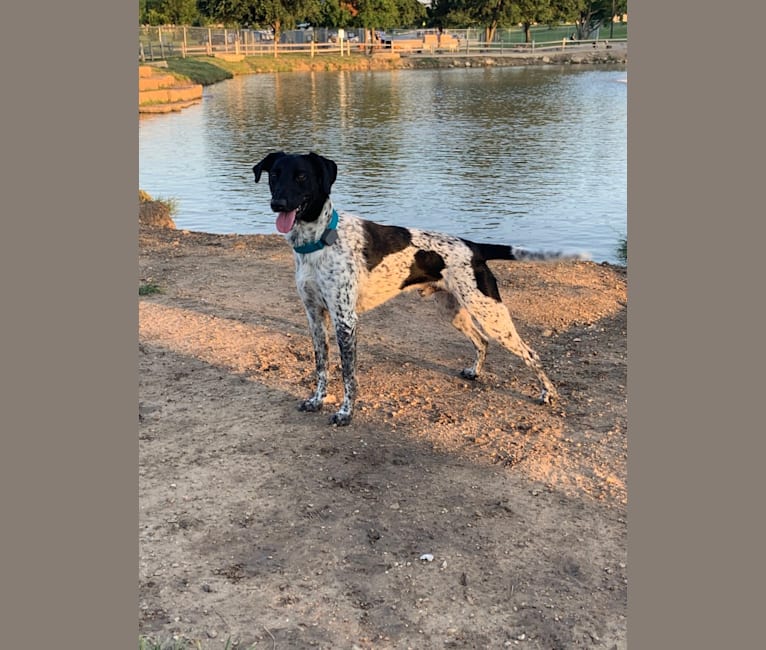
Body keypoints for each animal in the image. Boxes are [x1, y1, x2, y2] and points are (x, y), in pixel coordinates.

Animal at [255, 151, 580, 426]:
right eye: (275, 176)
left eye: (301, 176)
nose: (277, 204)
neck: (319, 240)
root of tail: (474, 247)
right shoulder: (314, 316)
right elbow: (321, 366)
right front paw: (317, 400)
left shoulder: (345, 320)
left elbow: (348, 374)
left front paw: (346, 413)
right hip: (455, 312)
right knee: (482, 341)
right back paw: (475, 372)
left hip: (492, 314)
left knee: (530, 353)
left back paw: (547, 394)